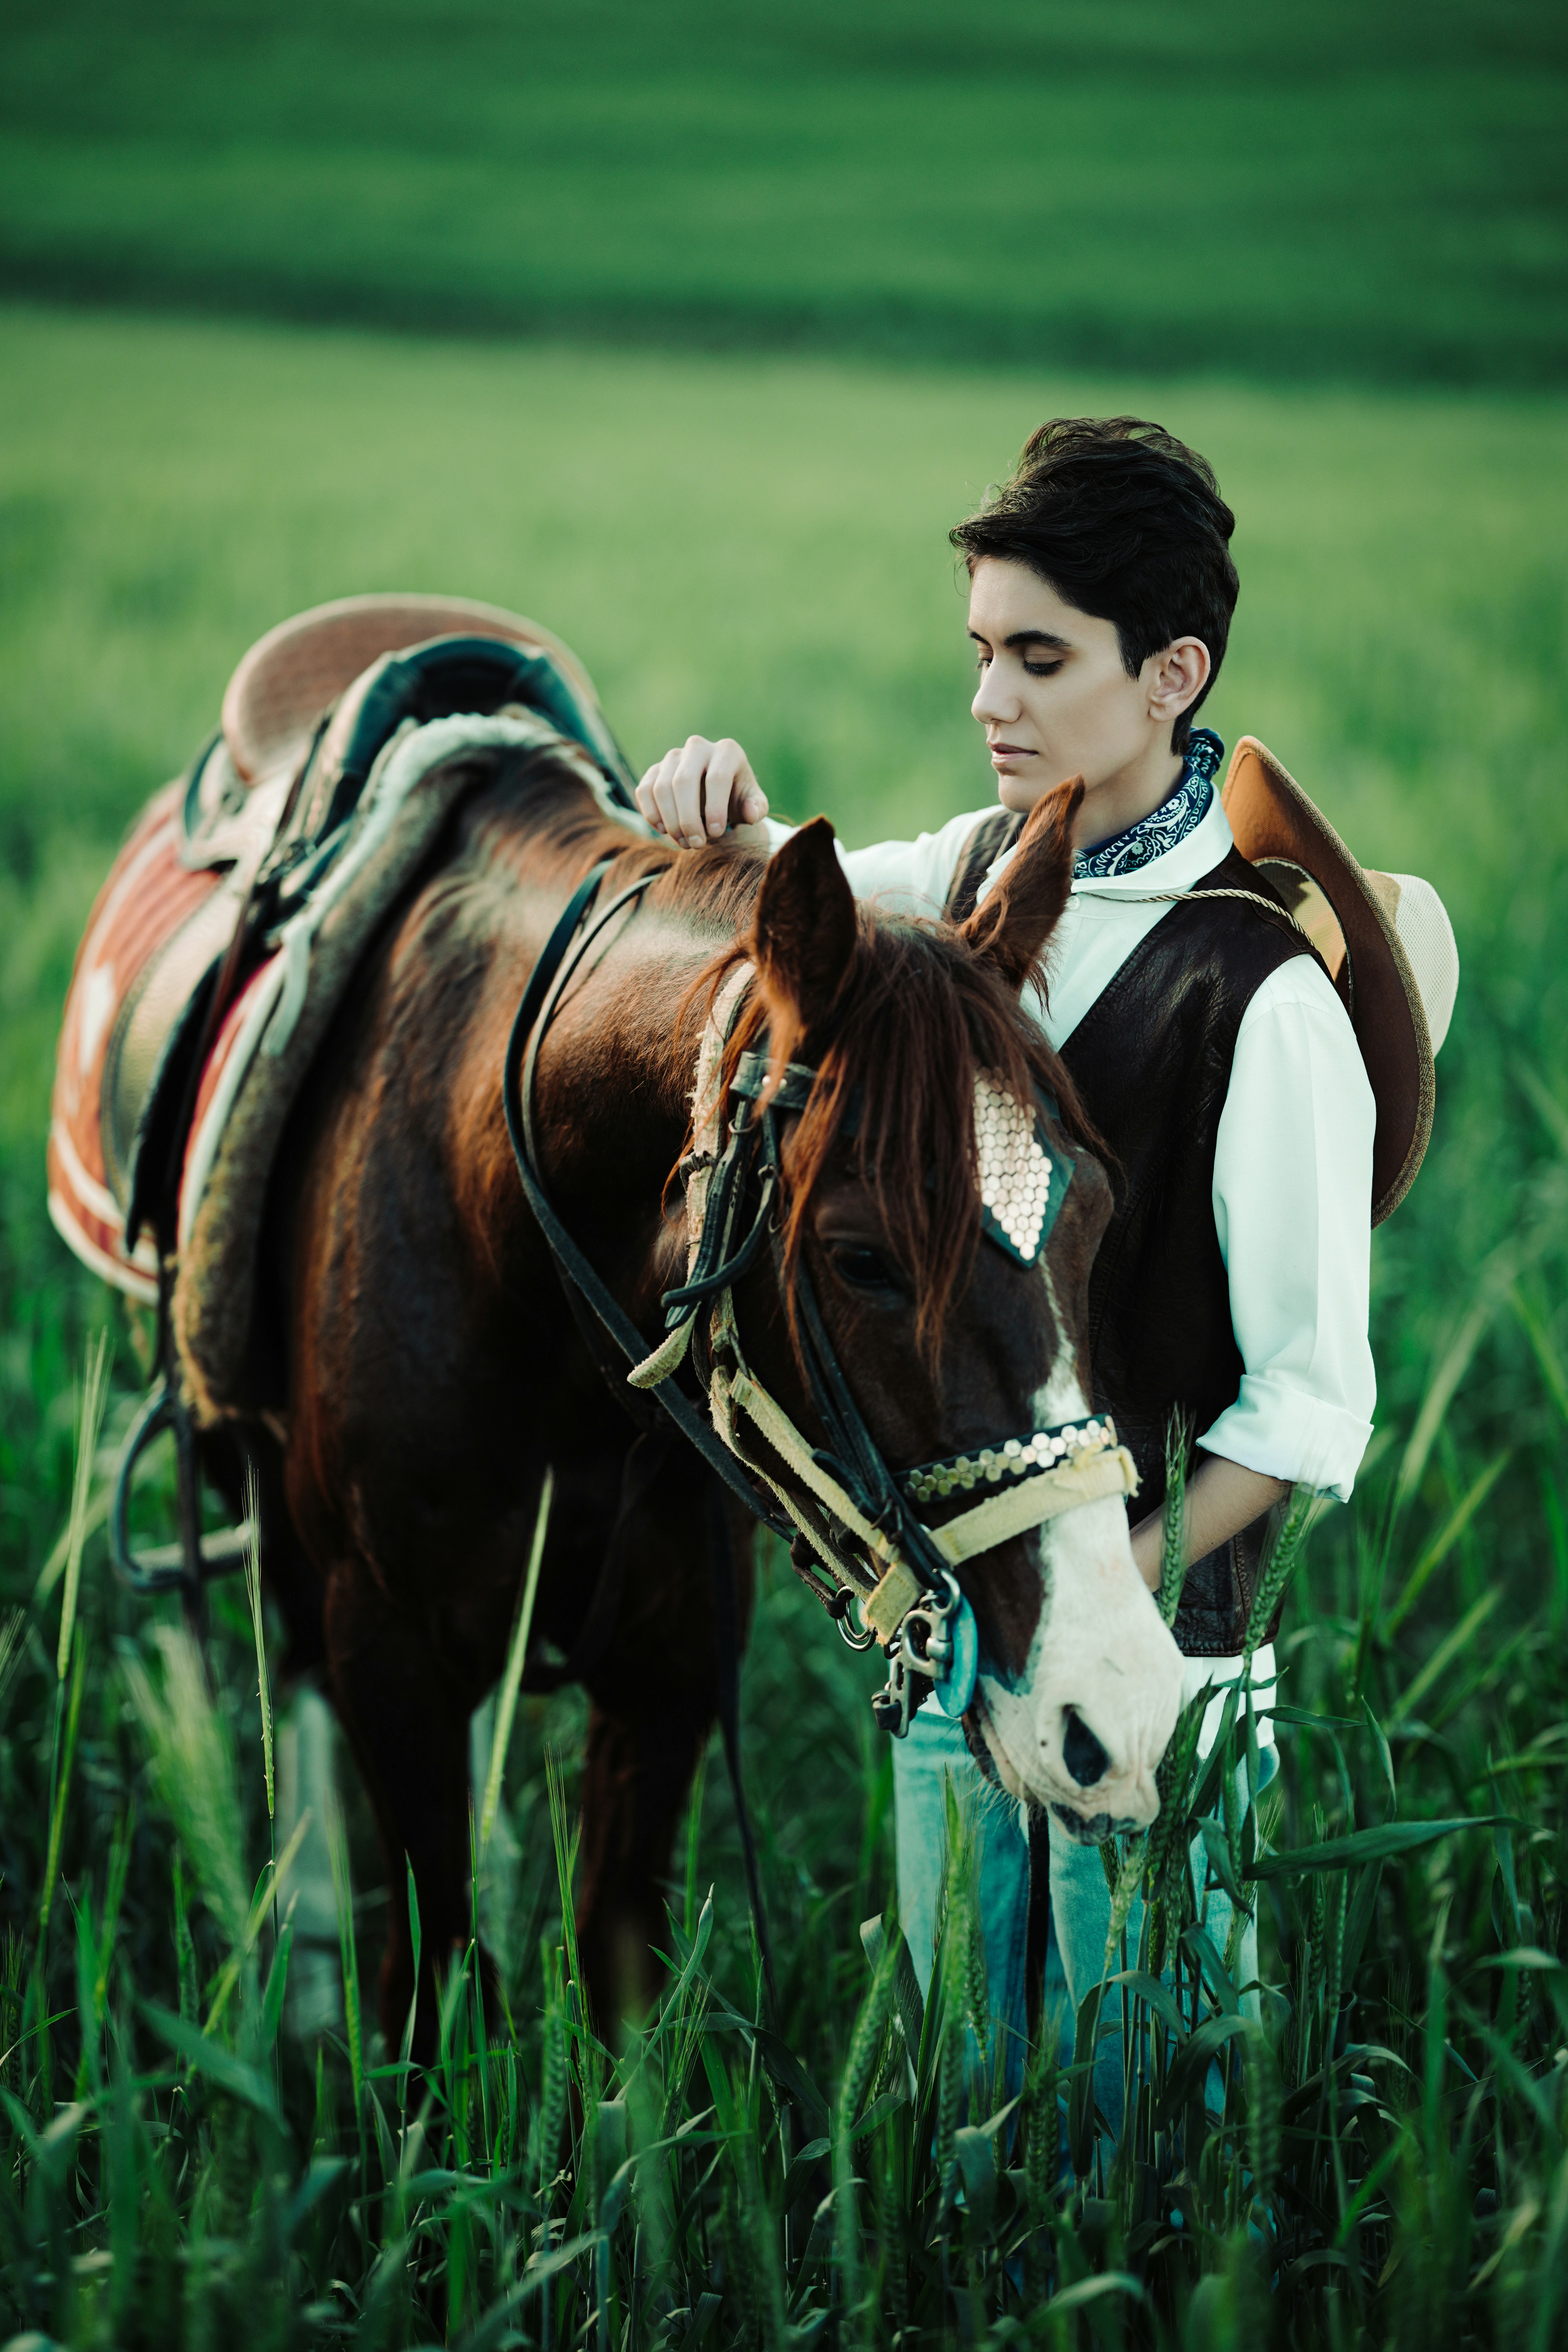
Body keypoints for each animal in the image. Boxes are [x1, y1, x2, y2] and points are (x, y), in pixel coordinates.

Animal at [214, 743, 1183, 2035]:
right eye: (860, 1257)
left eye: (1097, 1212)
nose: (1114, 1709)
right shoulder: (385, 1645)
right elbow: (431, 1976)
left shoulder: (672, 1656)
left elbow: (618, 1973)